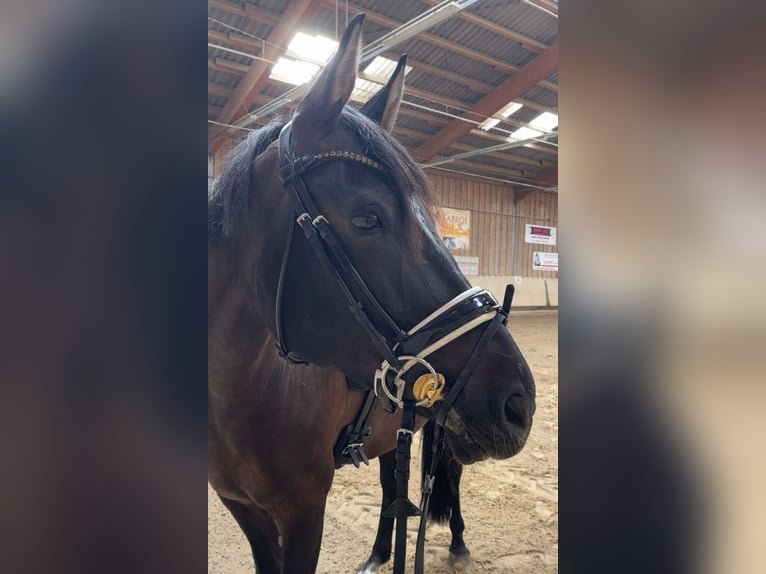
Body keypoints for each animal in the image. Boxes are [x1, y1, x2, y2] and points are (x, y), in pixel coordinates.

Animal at [208, 14, 535, 573]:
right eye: (367, 217)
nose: (521, 402)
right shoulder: (242, 507)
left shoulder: (304, 510)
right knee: (390, 486)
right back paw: (381, 551)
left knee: (447, 476)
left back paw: (457, 542)